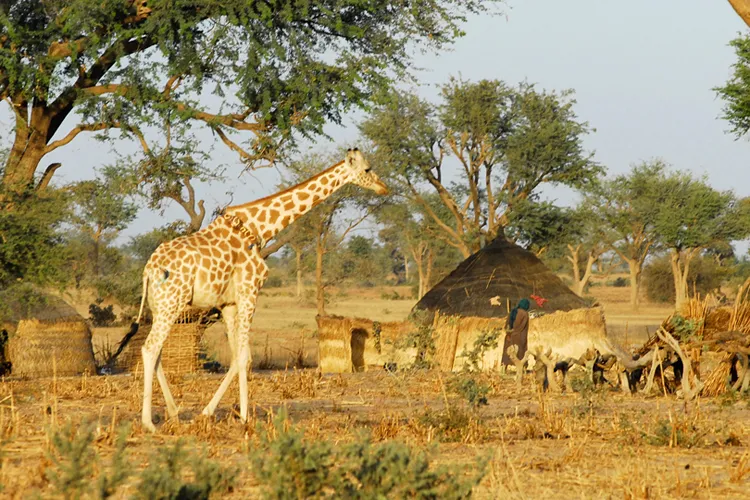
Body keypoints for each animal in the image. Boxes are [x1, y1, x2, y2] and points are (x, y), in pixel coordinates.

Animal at [123, 147, 388, 430]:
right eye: (368, 169)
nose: (383, 187)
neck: (261, 227)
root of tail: (148, 270)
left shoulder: (228, 303)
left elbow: (237, 357)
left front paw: (209, 413)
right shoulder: (250, 292)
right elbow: (244, 358)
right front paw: (244, 418)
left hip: (160, 306)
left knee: (157, 353)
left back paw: (174, 412)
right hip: (171, 303)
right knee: (150, 349)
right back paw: (148, 423)